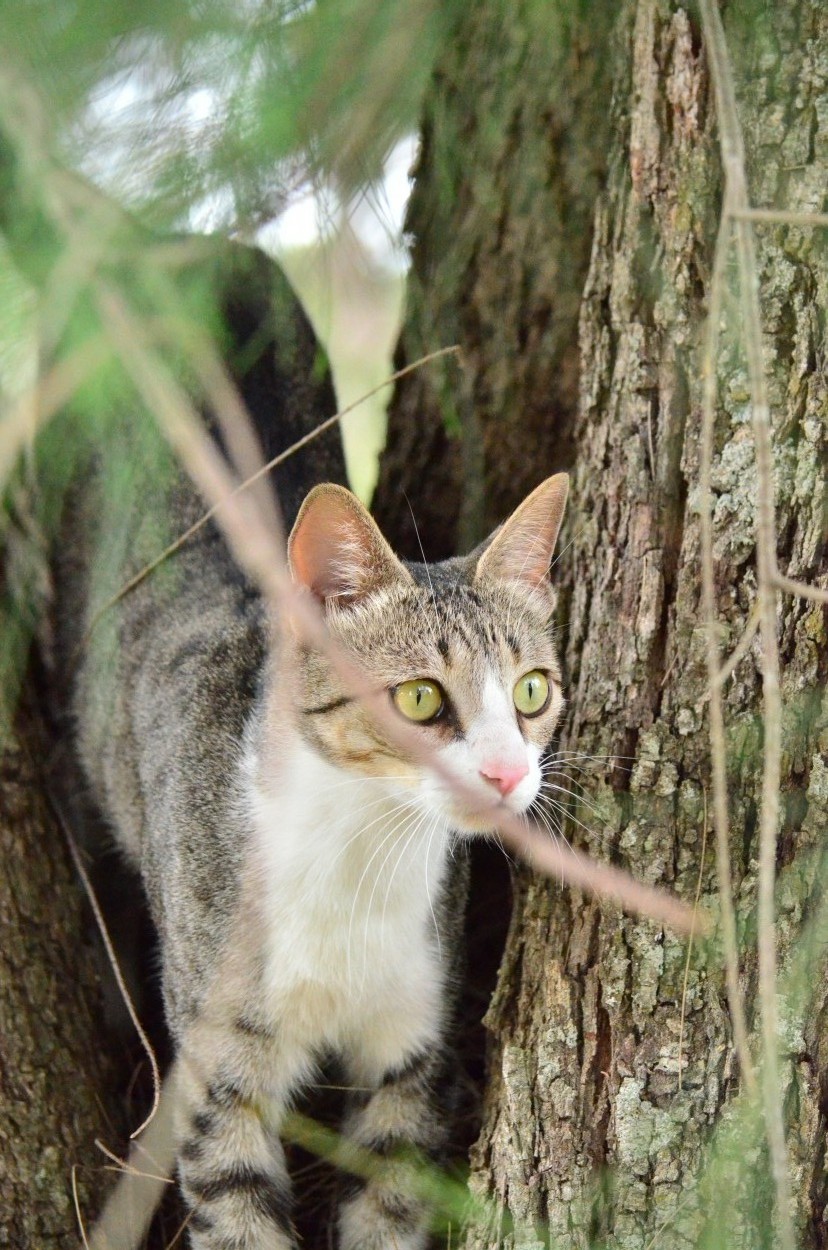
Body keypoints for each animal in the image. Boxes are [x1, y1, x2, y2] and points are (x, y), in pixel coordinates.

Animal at [43, 236, 565, 1250]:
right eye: (418, 697)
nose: (506, 774)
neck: (360, 850)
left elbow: (390, 1199)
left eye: (531, 692)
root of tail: (177, 244)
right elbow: (236, 1203)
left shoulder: (415, 1042)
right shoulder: (217, 1065)